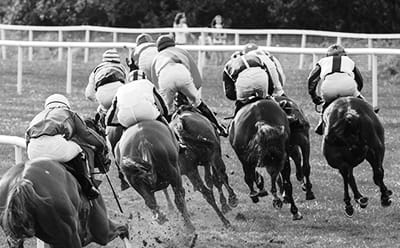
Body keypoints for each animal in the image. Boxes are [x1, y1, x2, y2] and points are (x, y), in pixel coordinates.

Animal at [0, 121, 130, 247]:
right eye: (103, 132)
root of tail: (20, 182)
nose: (108, 161)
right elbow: (124, 228)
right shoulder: (102, 231)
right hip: (70, 235)